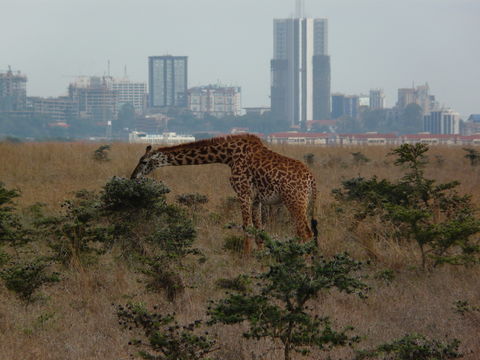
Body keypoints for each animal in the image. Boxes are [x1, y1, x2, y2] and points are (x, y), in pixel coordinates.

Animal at [130, 134, 318, 252]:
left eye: (144, 161)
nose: (133, 177)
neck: (228, 155)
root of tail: (312, 180)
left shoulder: (243, 192)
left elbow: (247, 227)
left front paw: (245, 259)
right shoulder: (256, 199)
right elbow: (259, 229)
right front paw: (260, 258)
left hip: (295, 201)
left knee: (306, 233)